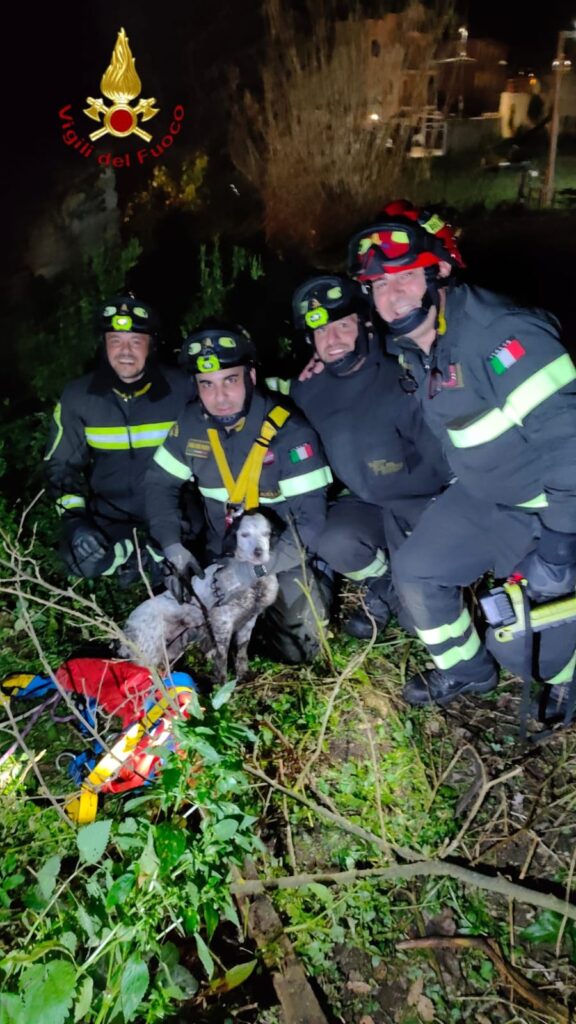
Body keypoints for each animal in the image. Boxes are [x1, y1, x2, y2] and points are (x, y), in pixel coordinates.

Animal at [117, 509, 276, 684]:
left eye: (266, 533)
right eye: (244, 534)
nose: (259, 552)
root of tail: (128, 625)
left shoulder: (248, 621)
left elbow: (242, 652)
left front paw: (243, 675)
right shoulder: (222, 623)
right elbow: (221, 659)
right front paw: (223, 686)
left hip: (172, 649)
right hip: (147, 653)